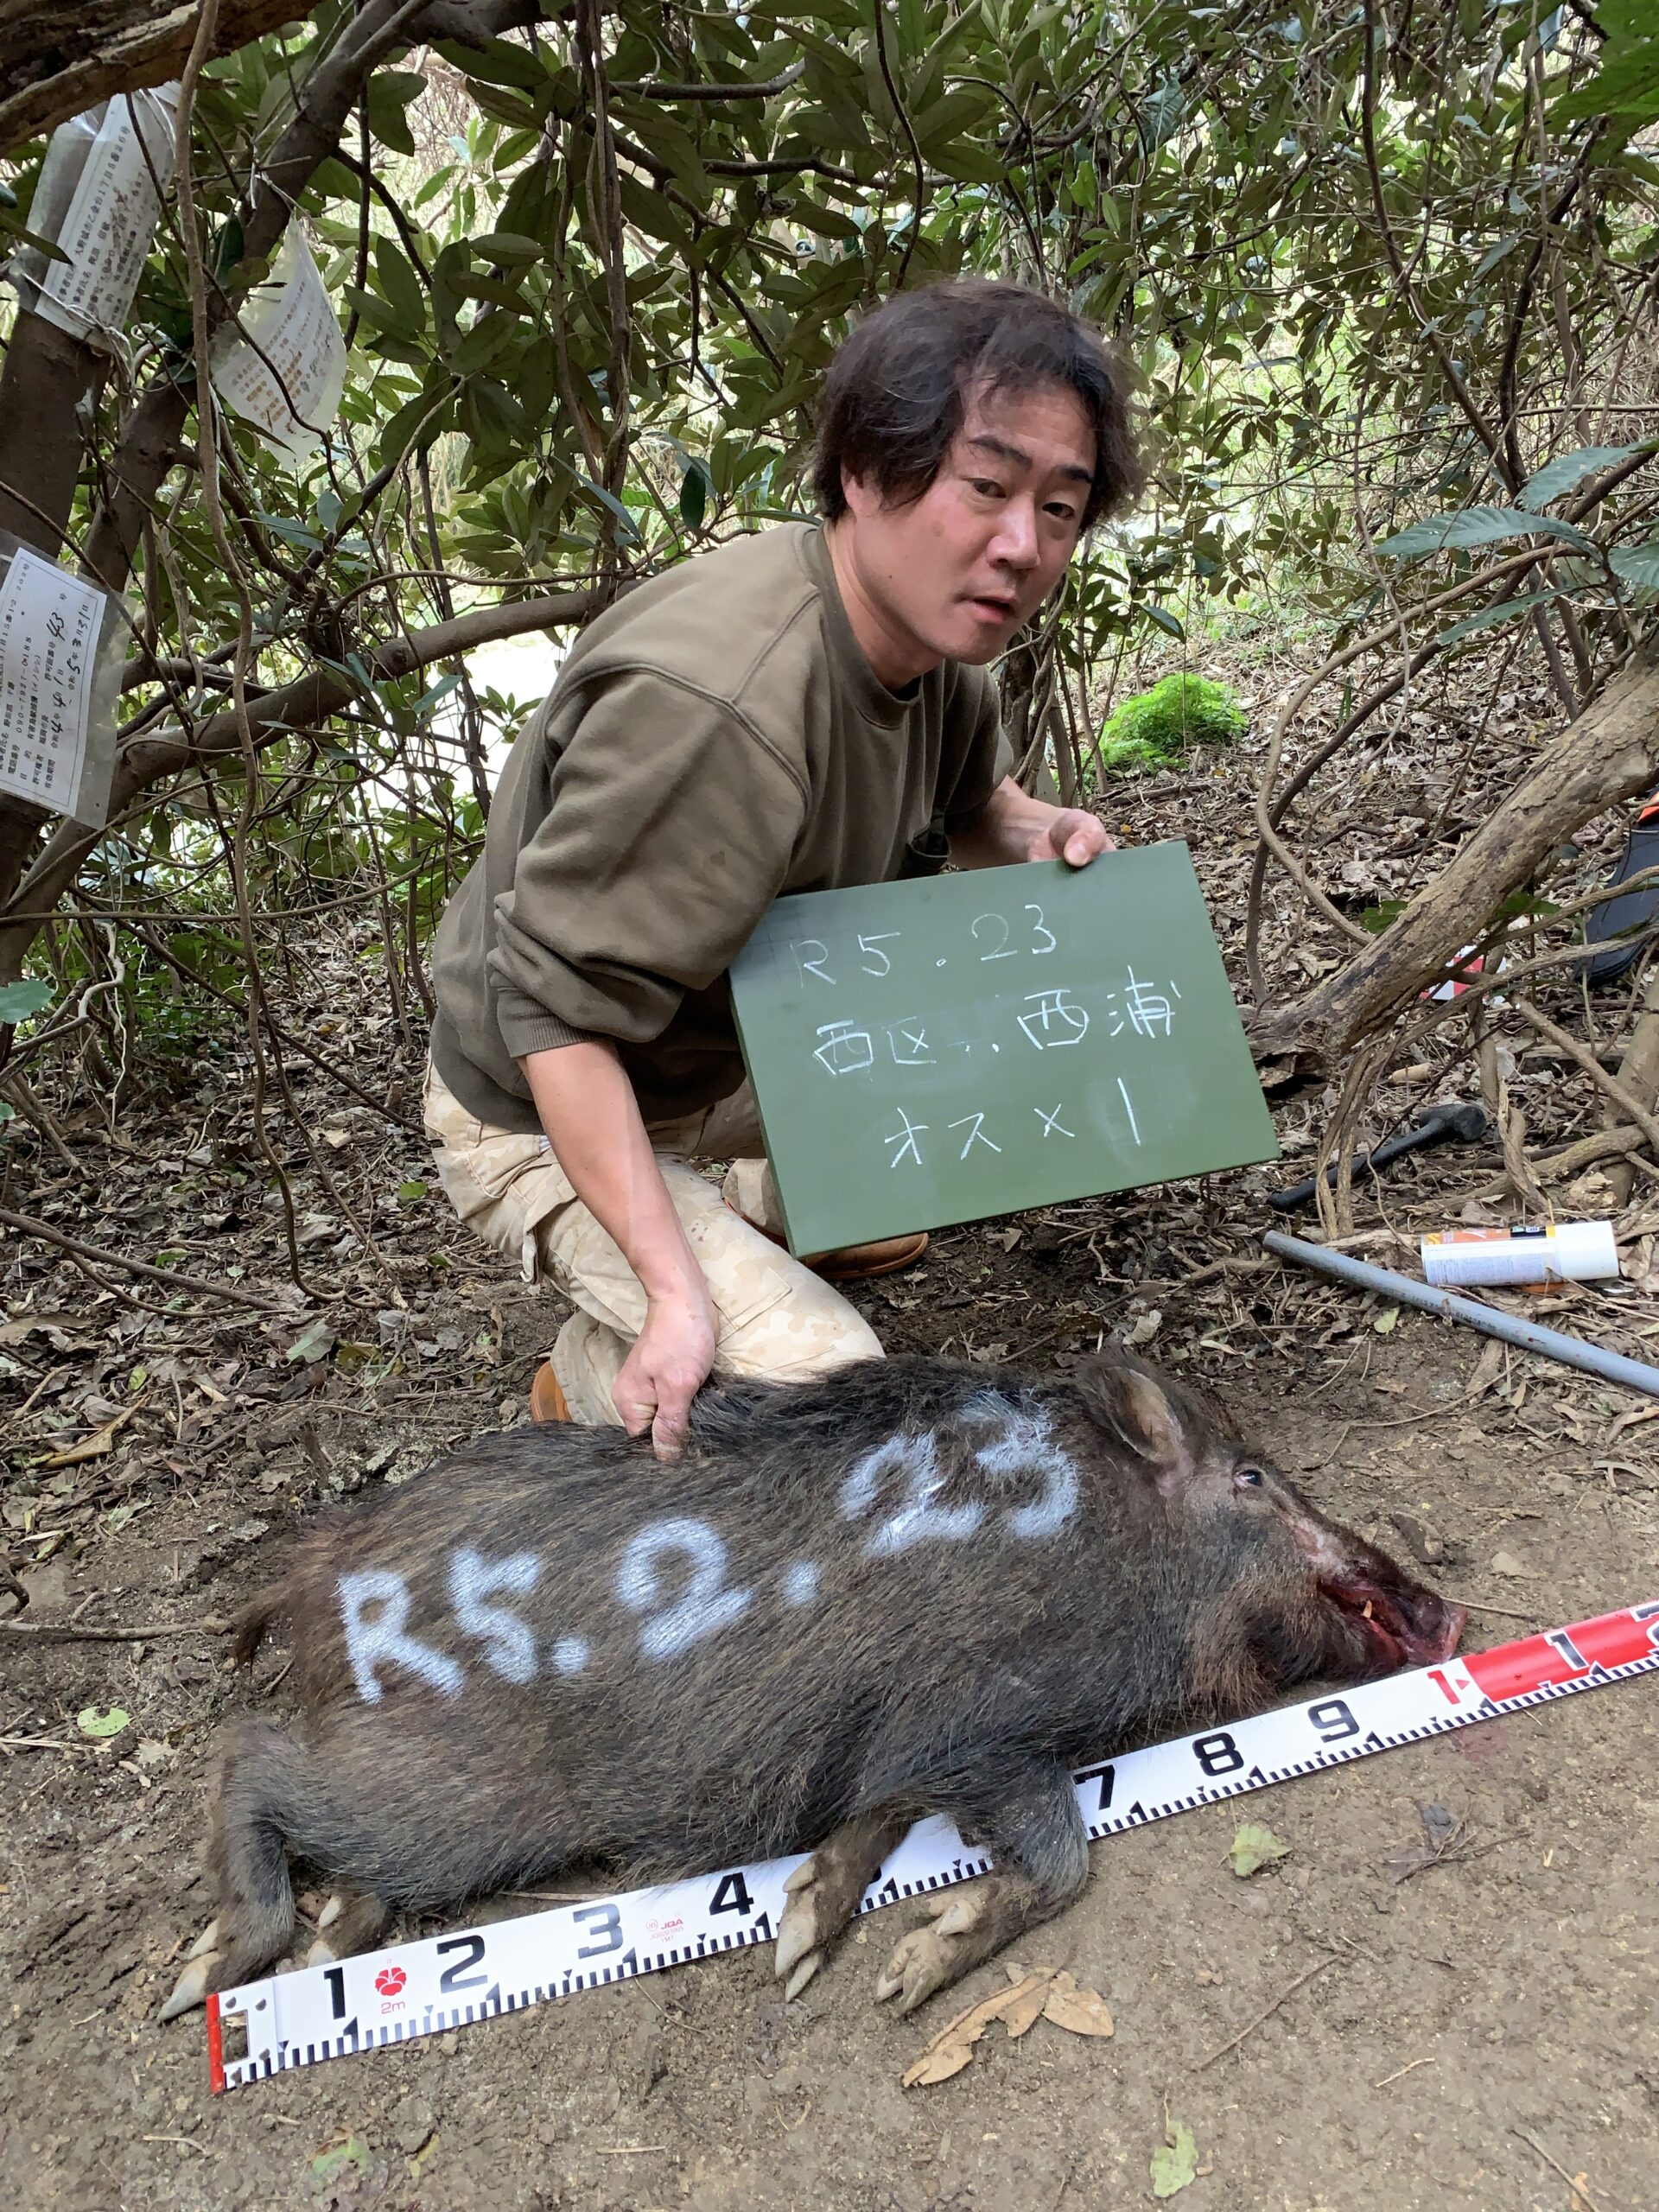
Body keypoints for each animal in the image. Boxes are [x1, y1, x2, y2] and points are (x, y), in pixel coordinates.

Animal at [160, 1351, 1465, 2022]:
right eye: (1253, 1478)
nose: (1450, 1609)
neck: (1115, 1544)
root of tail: (316, 1564)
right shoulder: (986, 1724)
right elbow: (1058, 1858)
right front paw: (903, 1981)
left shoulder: (889, 1744)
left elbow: (866, 1833)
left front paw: (796, 1944)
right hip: (447, 1792)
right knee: (247, 1752)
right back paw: (205, 1983)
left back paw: (329, 1949)